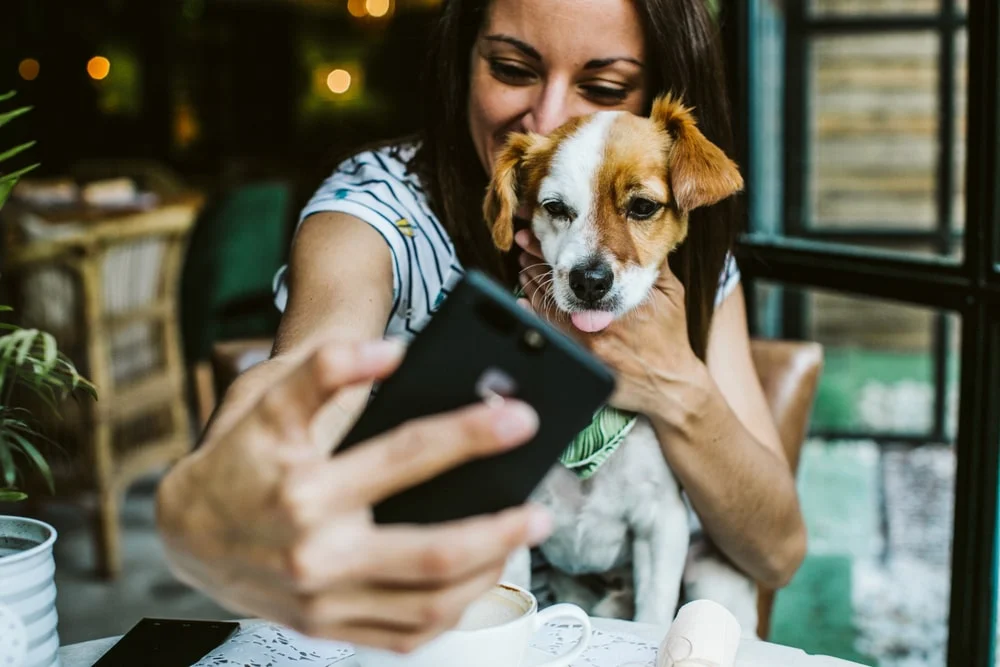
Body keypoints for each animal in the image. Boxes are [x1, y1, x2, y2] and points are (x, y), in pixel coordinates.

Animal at [484, 92, 756, 632]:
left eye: (643, 206)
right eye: (555, 208)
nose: (590, 280)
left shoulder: (661, 526)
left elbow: (654, 615)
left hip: (714, 577)